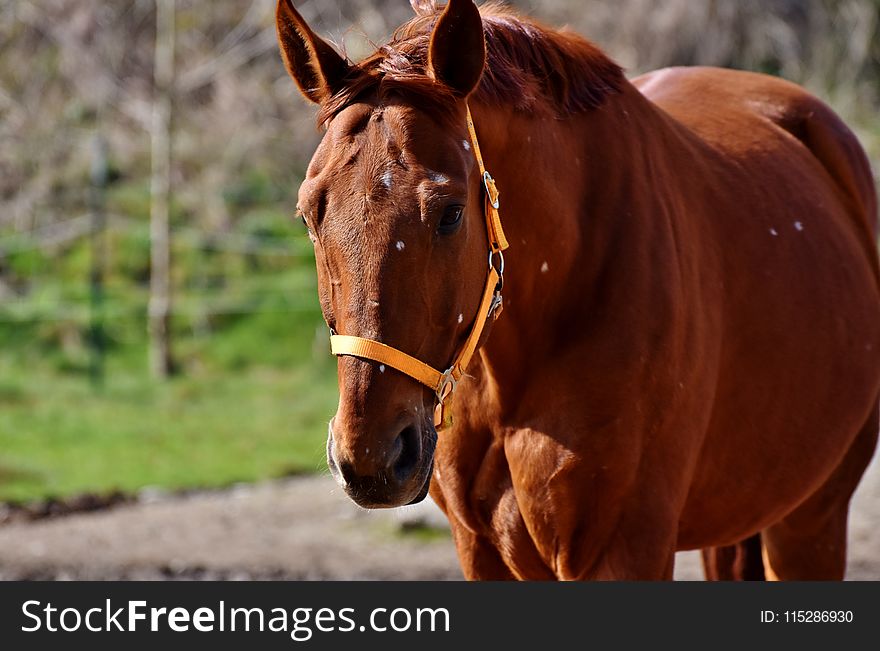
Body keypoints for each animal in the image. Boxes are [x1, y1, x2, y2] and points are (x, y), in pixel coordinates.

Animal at [272, 0, 876, 580]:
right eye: (309, 215)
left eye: (449, 213)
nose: (371, 457)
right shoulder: (480, 551)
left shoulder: (625, 550)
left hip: (810, 520)